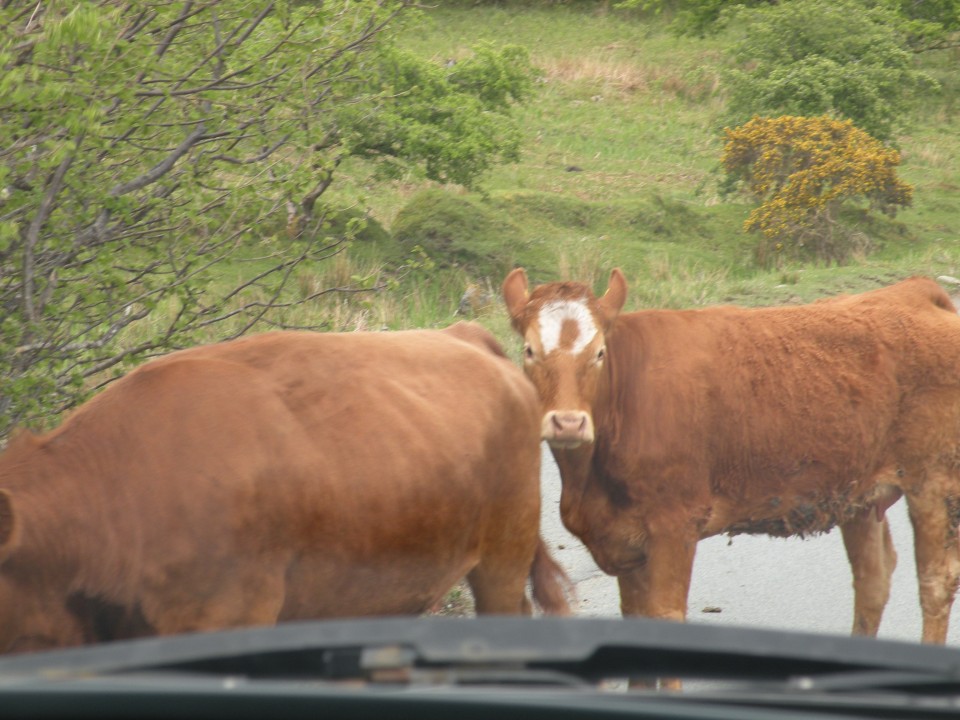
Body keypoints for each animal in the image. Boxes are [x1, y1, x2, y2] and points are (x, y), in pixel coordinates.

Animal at [502, 268, 960, 644]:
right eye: (529, 351)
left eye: (598, 353)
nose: (568, 422)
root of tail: (917, 291)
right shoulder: (623, 543)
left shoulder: (675, 526)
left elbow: (667, 617)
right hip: (859, 495)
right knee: (872, 581)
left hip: (934, 484)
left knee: (936, 582)